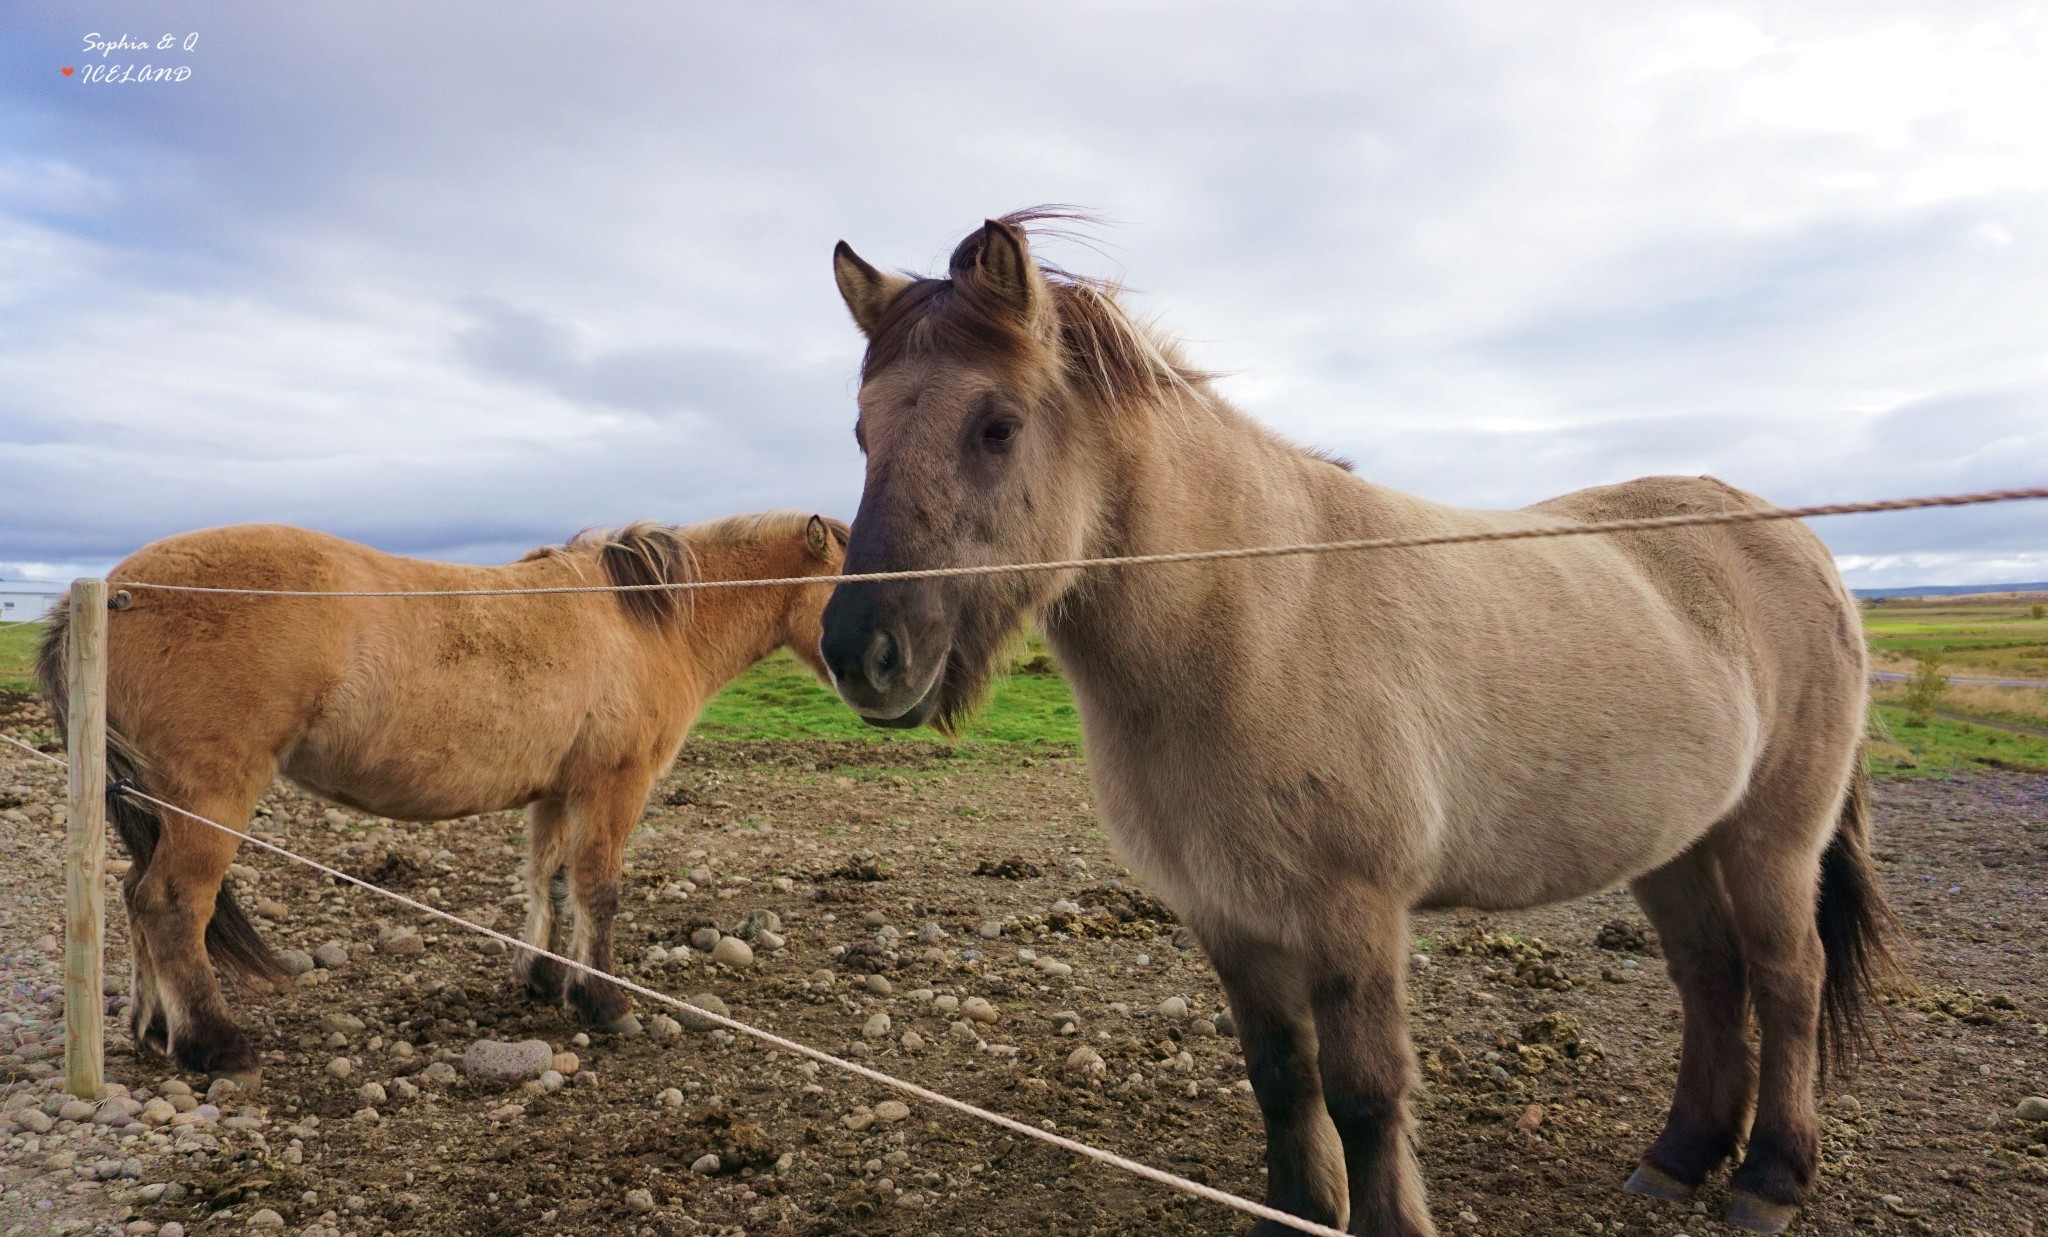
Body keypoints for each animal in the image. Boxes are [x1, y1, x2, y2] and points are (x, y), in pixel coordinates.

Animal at [46, 512, 847, 1081]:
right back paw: (215, 1047)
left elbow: (550, 881)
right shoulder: (612, 785)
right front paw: (604, 1002)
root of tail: (117, 590)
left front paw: (543, 979)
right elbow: (598, 888)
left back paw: (154, 1030)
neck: (644, 619)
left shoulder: (557, 791)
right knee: (171, 903)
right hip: (211, 797)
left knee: (135, 898)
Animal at [815, 215, 1900, 1237]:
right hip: (1674, 845)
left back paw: (1768, 1178)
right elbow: (1280, 1076)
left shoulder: (1352, 912)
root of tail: (1800, 542)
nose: (861, 651)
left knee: (1786, 980)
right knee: (1710, 976)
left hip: (1769, 841)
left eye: (996, 426)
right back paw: (1679, 1156)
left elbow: (1365, 1092)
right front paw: (1296, 1210)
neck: (1250, 620)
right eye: (860, 434)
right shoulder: (1227, 913)